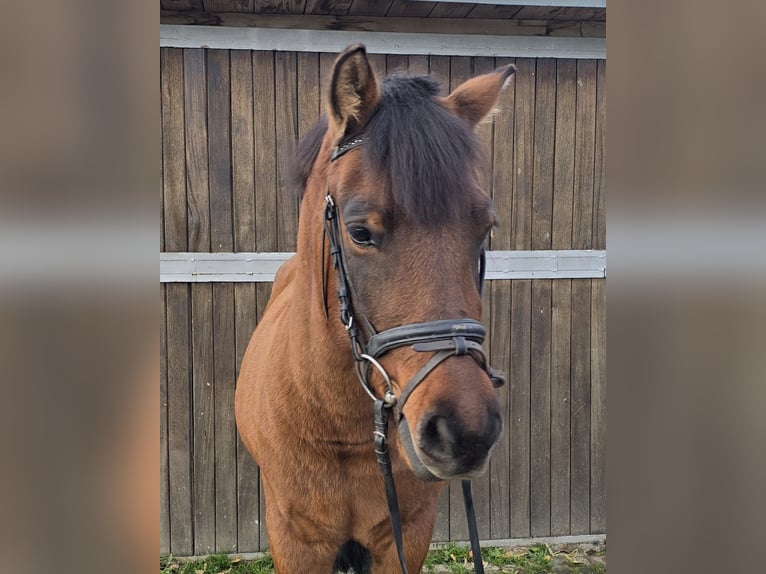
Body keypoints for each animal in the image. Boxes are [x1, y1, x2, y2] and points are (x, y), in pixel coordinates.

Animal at [237, 46, 520, 574]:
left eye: (485, 228)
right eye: (360, 232)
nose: (465, 431)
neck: (343, 427)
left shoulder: (406, 533)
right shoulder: (295, 540)